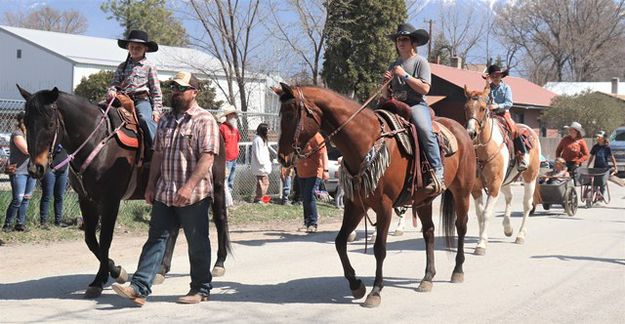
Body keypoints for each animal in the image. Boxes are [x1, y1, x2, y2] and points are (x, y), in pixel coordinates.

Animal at [18, 86, 230, 298]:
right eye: (26, 123)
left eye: (50, 123)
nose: (35, 168)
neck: (98, 141)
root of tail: (215, 125)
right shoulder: (86, 199)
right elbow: (90, 240)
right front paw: (114, 270)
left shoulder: (111, 200)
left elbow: (105, 240)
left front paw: (102, 278)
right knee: (174, 228)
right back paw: (162, 269)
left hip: (217, 185)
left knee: (220, 219)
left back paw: (219, 264)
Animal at [272, 83, 472, 306]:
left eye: (291, 114)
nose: (282, 157)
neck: (366, 140)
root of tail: (461, 130)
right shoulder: (356, 203)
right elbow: (340, 242)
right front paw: (356, 285)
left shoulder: (384, 206)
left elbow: (379, 249)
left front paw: (375, 291)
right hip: (423, 200)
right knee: (428, 231)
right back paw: (427, 278)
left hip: (462, 191)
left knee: (461, 227)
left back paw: (458, 270)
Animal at [464, 84, 540, 256]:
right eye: (466, 107)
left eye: (482, 108)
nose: (471, 133)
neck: (485, 149)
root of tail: (530, 131)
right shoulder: (476, 187)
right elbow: (480, 214)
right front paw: (481, 239)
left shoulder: (494, 185)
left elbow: (486, 213)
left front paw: (481, 245)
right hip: (505, 182)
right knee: (510, 197)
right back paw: (508, 227)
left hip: (530, 178)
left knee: (527, 204)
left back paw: (520, 235)